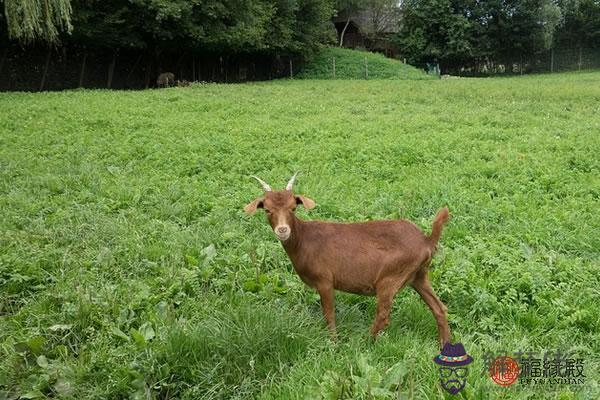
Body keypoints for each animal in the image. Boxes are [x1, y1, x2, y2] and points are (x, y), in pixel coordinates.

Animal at [244, 173, 450, 346]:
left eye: (293, 208)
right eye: (267, 210)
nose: (283, 230)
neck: (304, 239)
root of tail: (427, 240)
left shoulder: (325, 280)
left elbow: (328, 313)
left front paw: (334, 343)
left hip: (391, 277)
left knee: (383, 314)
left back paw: (363, 343)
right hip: (419, 276)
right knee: (440, 308)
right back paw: (444, 345)